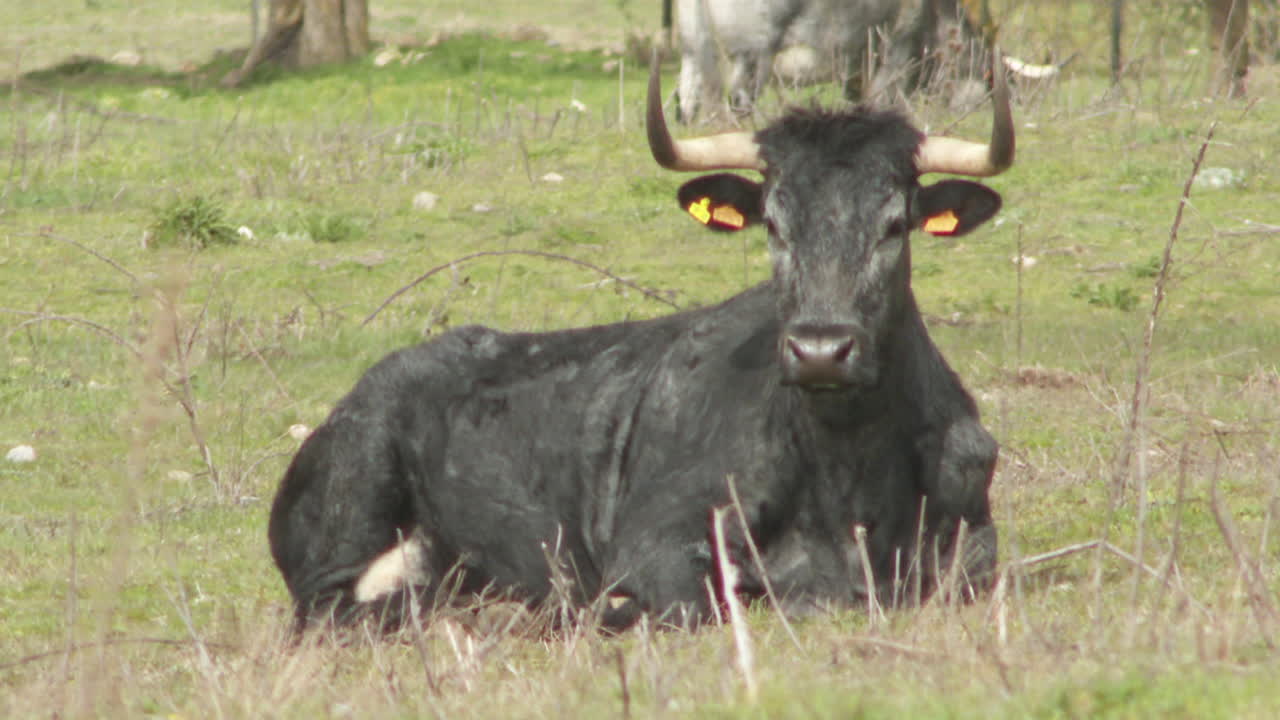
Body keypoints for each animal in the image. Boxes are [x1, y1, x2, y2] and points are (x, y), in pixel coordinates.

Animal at [268, 56, 1014, 634]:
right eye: (773, 223)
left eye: (894, 224)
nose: (820, 350)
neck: (845, 475)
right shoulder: (655, 541)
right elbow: (689, 605)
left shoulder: (975, 536)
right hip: (352, 503)